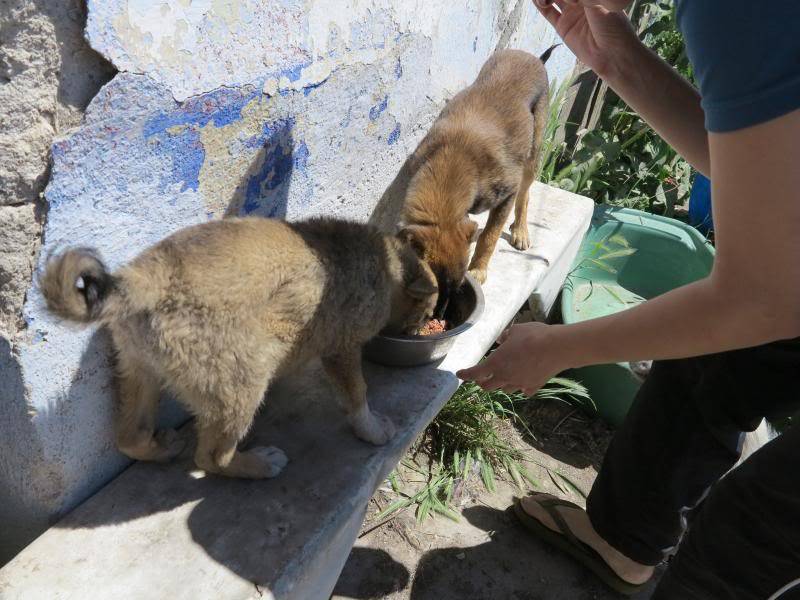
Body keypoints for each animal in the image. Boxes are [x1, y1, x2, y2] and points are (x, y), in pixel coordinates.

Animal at [41, 218, 440, 480]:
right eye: (428, 311)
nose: (423, 326)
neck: (386, 263)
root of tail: (142, 283)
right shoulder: (342, 349)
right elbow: (357, 394)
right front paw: (371, 428)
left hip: (140, 370)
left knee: (130, 438)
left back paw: (160, 449)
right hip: (241, 385)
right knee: (210, 458)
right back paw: (259, 465)